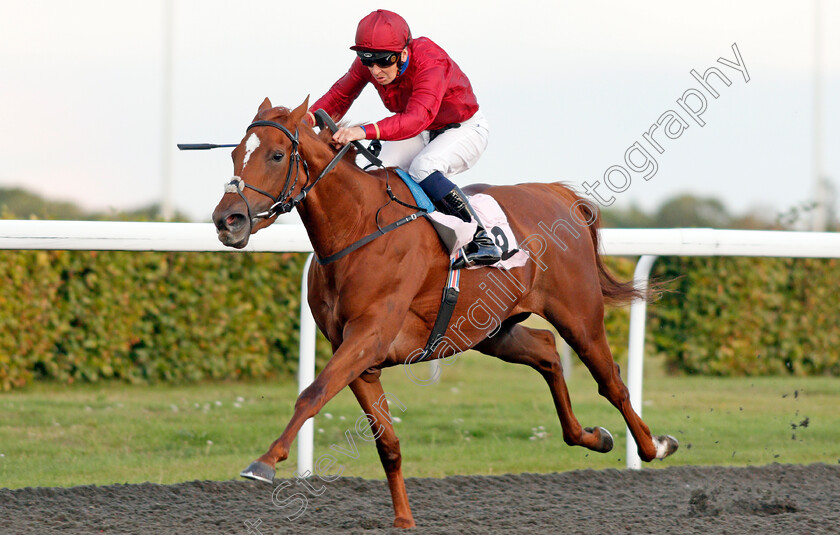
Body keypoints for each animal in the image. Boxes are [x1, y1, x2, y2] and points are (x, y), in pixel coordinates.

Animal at [212, 98, 676, 528]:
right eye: (234, 154)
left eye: (276, 155)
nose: (226, 220)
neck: (357, 227)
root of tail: (556, 194)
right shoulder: (357, 355)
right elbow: (387, 442)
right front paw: (404, 519)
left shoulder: (368, 338)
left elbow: (312, 394)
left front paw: (264, 462)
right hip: (490, 329)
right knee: (546, 350)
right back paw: (593, 436)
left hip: (579, 316)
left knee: (611, 381)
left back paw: (655, 446)